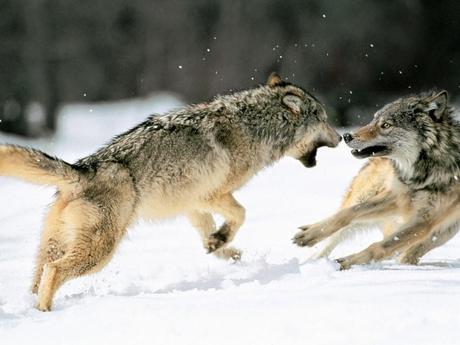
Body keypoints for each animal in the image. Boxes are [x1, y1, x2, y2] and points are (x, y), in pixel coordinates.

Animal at [0, 72, 342, 310]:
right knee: (55, 271)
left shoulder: (191, 203)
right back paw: (46, 312)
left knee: (39, 276)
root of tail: (83, 168)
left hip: (54, 245)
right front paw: (223, 241)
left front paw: (221, 246)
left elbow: (209, 235)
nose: (341, 137)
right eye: (324, 119)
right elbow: (242, 213)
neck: (255, 126)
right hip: (99, 253)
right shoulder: (211, 195)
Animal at [292, 90, 460, 268]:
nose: (347, 136)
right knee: (334, 237)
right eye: (373, 120)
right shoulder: (396, 196)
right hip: (366, 196)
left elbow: (380, 247)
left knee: (408, 252)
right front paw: (309, 235)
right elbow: (348, 213)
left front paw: (347, 262)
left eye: (386, 125)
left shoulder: (425, 220)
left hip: (444, 231)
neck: (422, 174)